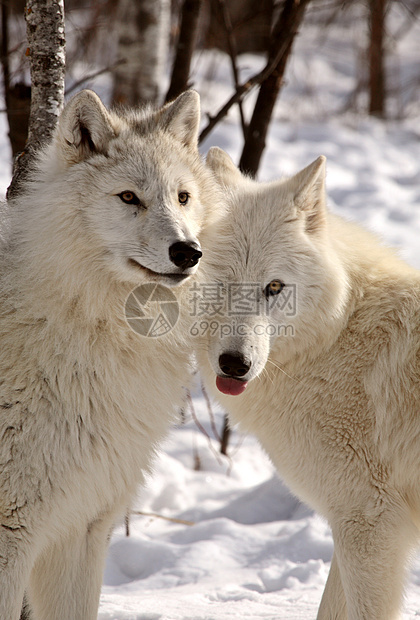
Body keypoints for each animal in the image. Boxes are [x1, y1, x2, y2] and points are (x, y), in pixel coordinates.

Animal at [195, 147, 420, 620]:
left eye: (274, 286)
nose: (234, 364)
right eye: (219, 284)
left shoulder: (371, 525)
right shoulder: (354, 523)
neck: (337, 338)